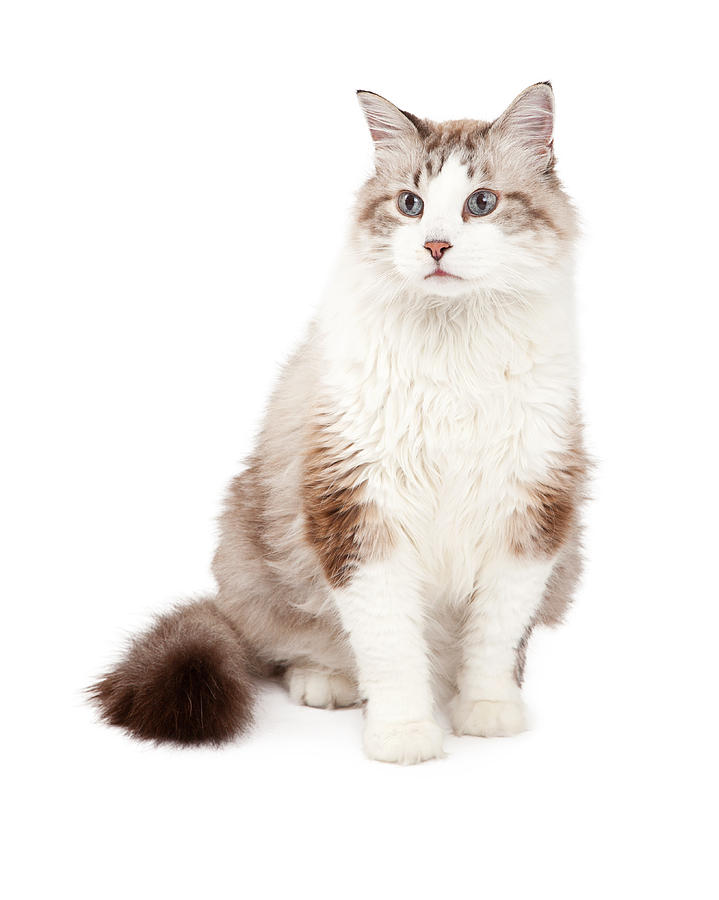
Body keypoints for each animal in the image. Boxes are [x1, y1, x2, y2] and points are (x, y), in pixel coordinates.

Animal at [90, 82, 588, 768]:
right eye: (411, 205)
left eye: (481, 203)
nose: (435, 246)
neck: (453, 349)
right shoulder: (360, 512)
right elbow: (391, 645)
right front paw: (404, 735)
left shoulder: (533, 513)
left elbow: (494, 636)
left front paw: (486, 711)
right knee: (291, 645)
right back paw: (326, 681)